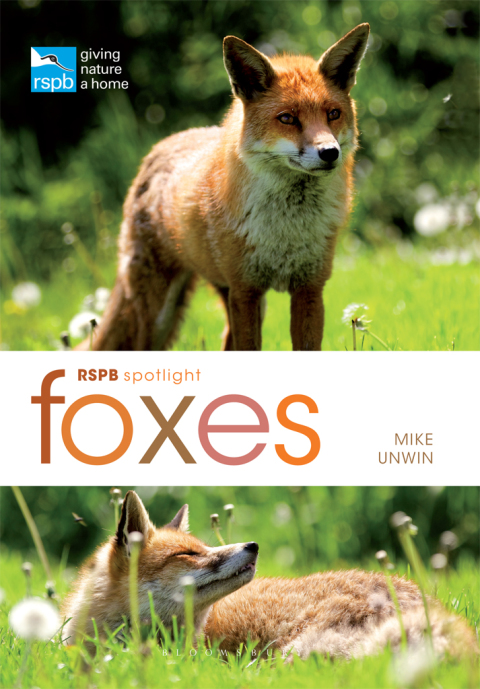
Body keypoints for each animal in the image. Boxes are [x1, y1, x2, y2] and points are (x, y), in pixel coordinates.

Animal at [79, 24, 371, 351]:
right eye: (287, 118)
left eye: (333, 114)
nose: (330, 152)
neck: (286, 230)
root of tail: (159, 149)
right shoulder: (245, 290)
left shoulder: (309, 288)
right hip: (160, 314)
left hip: (227, 296)